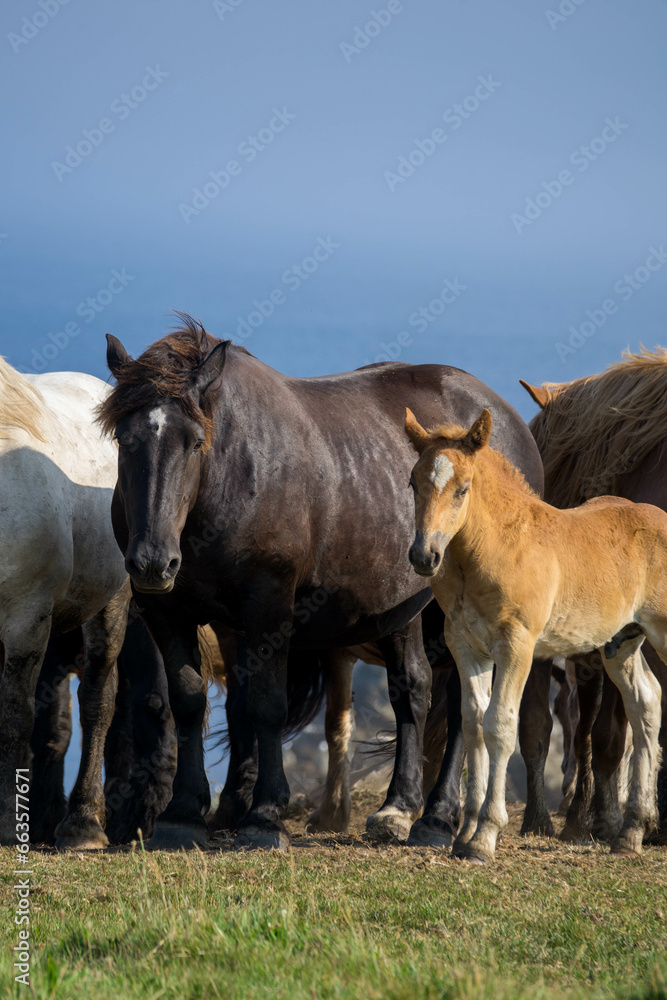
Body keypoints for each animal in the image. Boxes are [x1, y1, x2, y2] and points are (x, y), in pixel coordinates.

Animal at [99, 316, 544, 848]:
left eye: (195, 442)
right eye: (124, 440)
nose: (152, 561)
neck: (231, 474)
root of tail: (508, 421)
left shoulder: (269, 605)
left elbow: (266, 705)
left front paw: (264, 816)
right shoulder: (169, 611)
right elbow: (189, 700)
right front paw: (183, 813)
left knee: (461, 706)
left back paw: (436, 818)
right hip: (403, 611)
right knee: (413, 689)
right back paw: (399, 808)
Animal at [404, 404, 664, 860]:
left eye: (463, 489)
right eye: (413, 483)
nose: (424, 556)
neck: (493, 549)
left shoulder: (517, 646)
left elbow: (499, 725)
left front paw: (485, 837)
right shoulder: (466, 646)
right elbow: (473, 724)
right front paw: (464, 833)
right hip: (622, 643)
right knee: (646, 703)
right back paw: (631, 832)